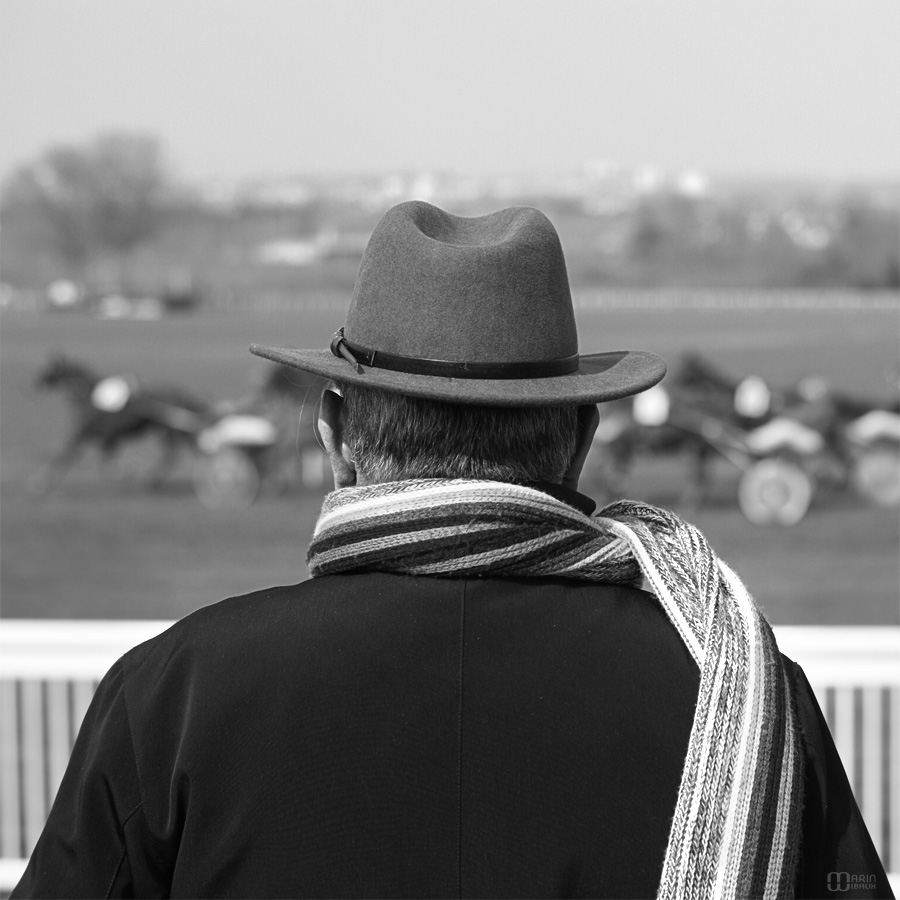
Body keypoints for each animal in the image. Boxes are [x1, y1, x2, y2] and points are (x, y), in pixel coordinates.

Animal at [32, 356, 212, 492]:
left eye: (49, 369)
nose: (34, 384)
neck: (90, 397)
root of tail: (181, 392)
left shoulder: (87, 434)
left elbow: (65, 455)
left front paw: (40, 484)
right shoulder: (107, 438)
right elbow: (107, 466)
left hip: (169, 430)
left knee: (174, 455)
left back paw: (153, 480)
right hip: (170, 430)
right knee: (184, 451)